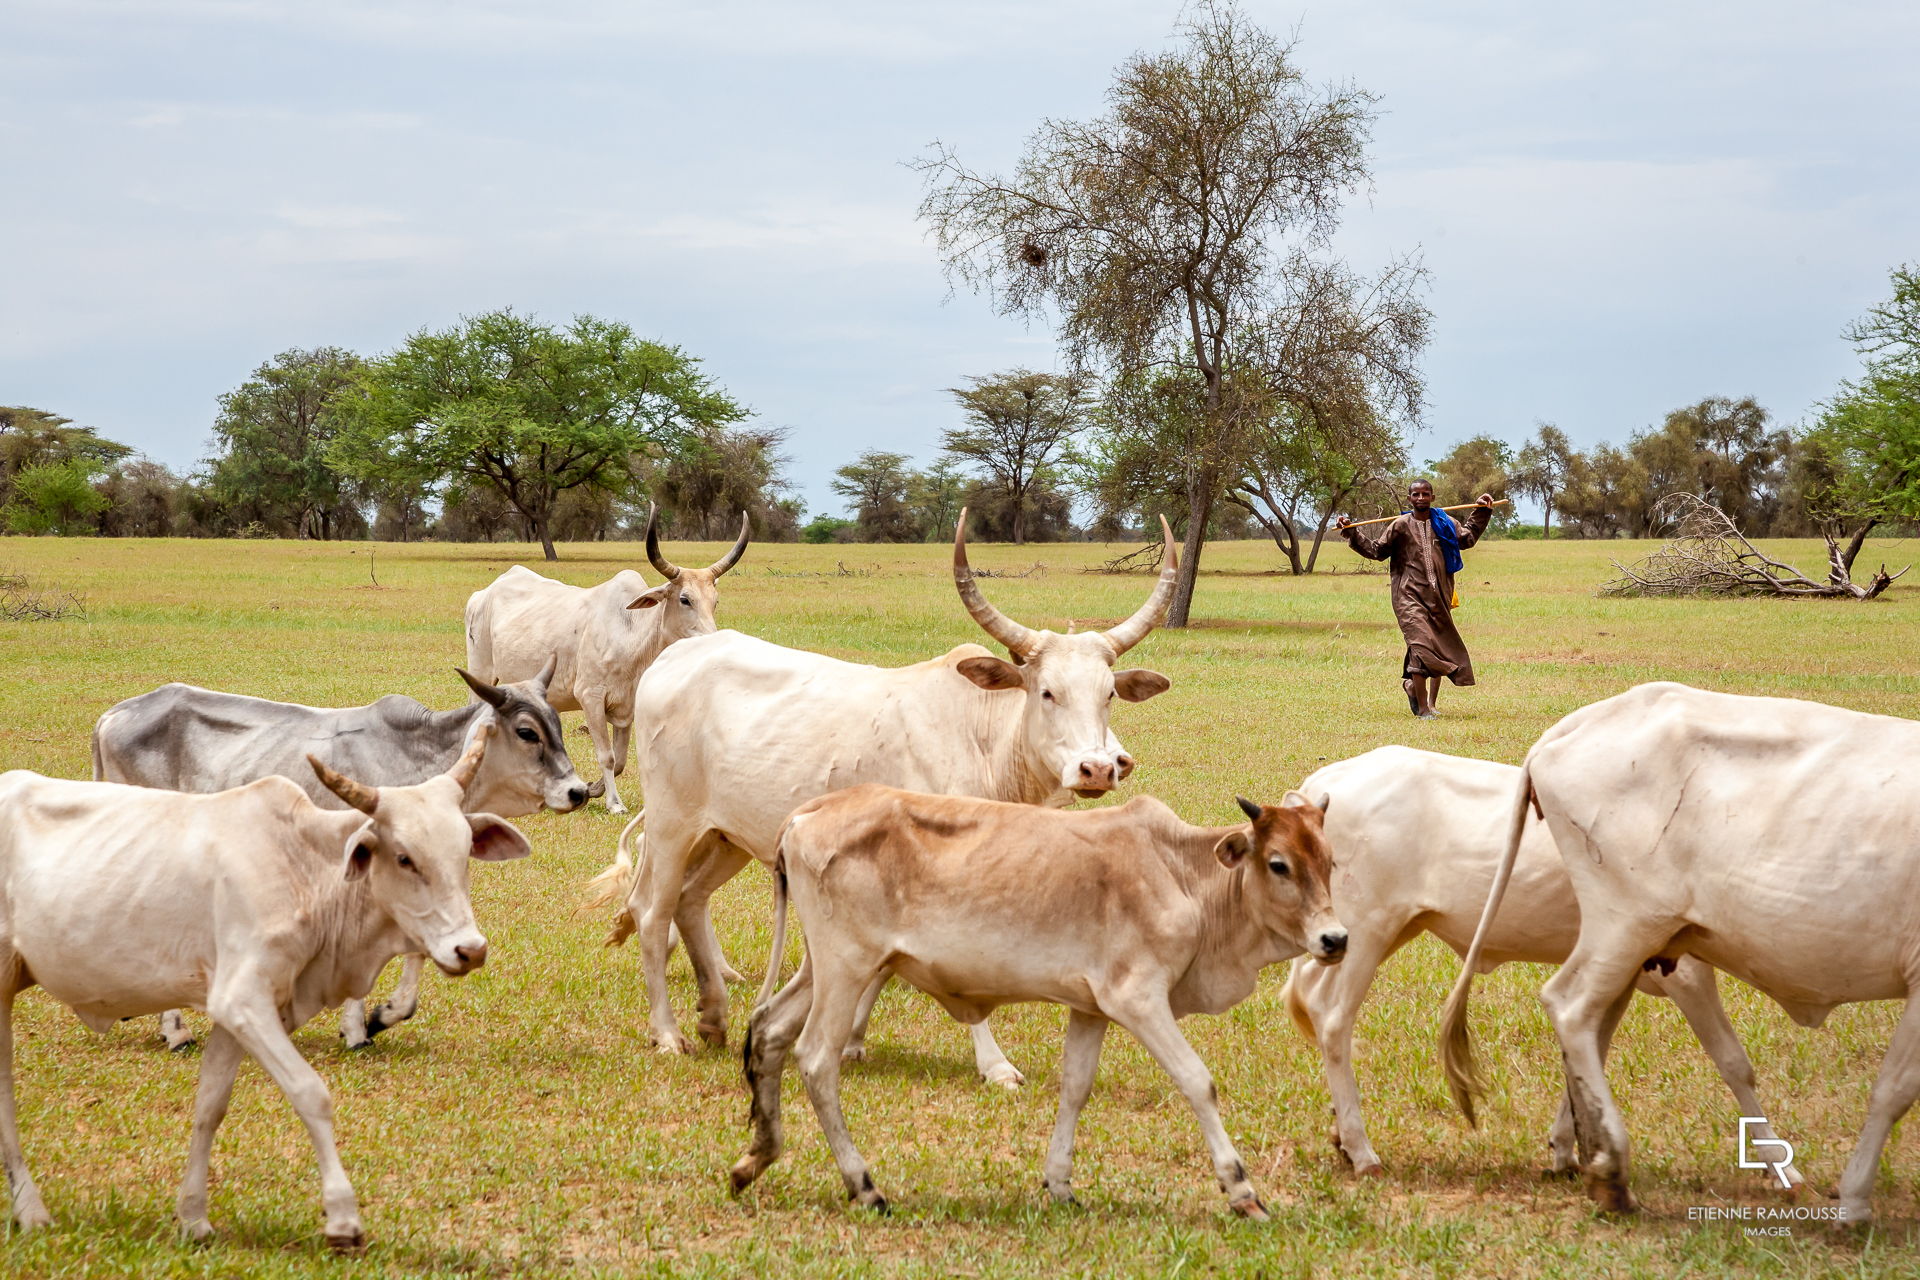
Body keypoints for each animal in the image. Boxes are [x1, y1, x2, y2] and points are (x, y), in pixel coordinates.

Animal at [91, 660, 583, 1051]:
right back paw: (175, 1030)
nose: (578, 791)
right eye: (527, 732)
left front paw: (383, 1016)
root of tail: (113, 714)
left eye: (559, 726)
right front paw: (358, 1028)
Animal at [464, 506, 748, 817]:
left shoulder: (626, 708)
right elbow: (607, 756)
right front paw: (614, 803)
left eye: (714, 601)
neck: (631, 634)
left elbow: (621, 760)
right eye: (685, 599)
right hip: (482, 672)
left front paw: (591, 790)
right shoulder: (590, 697)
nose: (714, 642)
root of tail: (482, 594)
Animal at [725, 786, 1344, 1220]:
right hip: (846, 966)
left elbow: (1075, 1088)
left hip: (823, 968)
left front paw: (1060, 1184)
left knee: (769, 1032)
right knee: (816, 1059)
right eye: (1279, 863)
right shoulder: (1139, 999)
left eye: (1330, 861)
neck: (1183, 875)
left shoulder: (1091, 1007)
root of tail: (811, 810)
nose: (1334, 939)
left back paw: (756, 1157)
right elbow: (1198, 1082)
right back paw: (865, 1186)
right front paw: (1242, 1190)